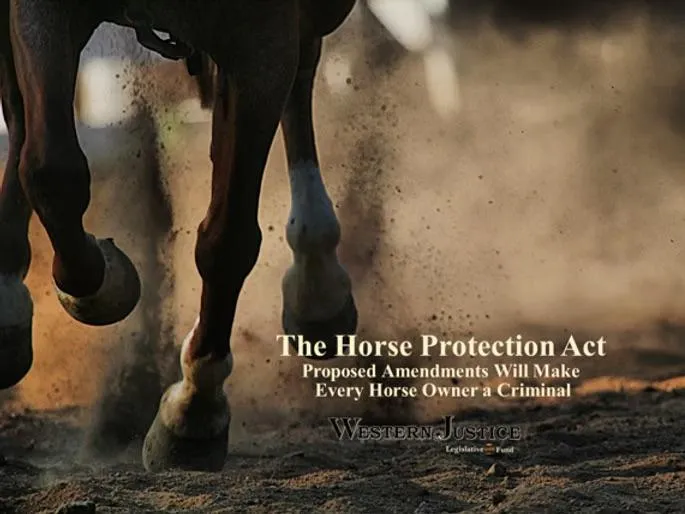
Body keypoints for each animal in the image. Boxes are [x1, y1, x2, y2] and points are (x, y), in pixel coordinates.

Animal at [0, 0, 358, 472]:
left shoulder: (263, 41)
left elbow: (227, 239)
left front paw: (194, 411)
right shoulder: (46, 9)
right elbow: (49, 171)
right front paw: (106, 284)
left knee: (301, 76)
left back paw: (317, 288)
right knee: (22, 120)